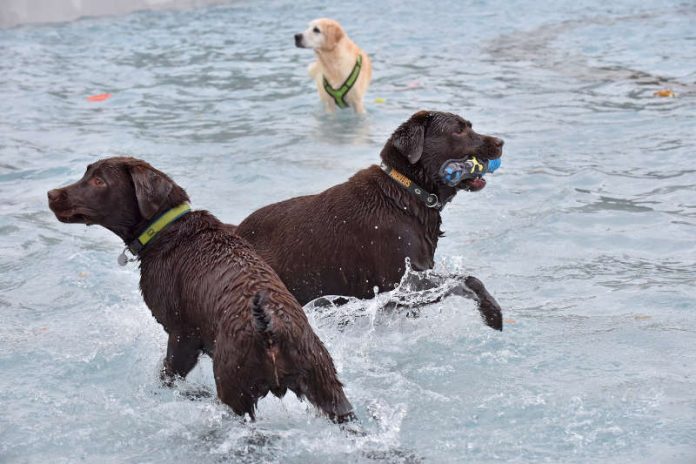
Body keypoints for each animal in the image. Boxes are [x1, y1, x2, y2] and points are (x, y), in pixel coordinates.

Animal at [44, 158, 354, 422]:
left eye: (99, 181)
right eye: (87, 173)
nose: (51, 193)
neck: (166, 230)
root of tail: (271, 328)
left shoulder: (182, 338)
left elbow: (168, 375)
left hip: (233, 388)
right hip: (327, 386)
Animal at [237, 111, 502, 330]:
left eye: (470, 125)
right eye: (458, 130)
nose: (501, 142)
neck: (405, 194)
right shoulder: (403, 284)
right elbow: (468, 280)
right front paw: (492, 313)